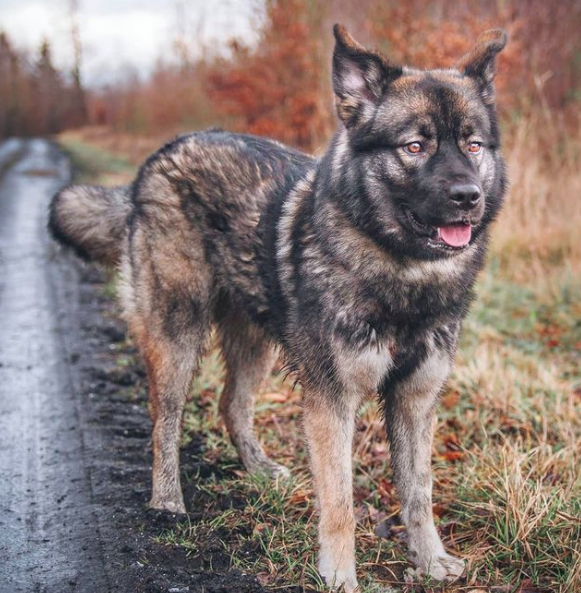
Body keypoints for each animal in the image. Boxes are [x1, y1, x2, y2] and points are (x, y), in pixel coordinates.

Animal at [49, 25, 506, 588]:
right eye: (414, 146)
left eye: (473, 144)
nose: (468, 196)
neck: (402, 276)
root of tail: (157, 159)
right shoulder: (331, 401)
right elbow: (340, 501)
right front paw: (339, 575)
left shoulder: (416, 399)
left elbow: (419, 492)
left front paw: (430, 560)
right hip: (178, 334)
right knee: (165, 418)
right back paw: (168, 499)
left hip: (256, 343)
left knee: (231, 404)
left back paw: (260, 471)